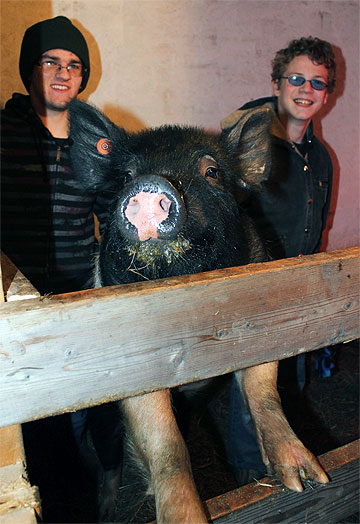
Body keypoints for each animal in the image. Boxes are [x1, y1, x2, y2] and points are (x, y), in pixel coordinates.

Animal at [68, 100, 330, 520]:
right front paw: (185, 517)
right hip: (101, 415)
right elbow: (165, 441)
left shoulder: (260, 319)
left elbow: (264, 391)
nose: (149, 185)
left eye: (212, 172)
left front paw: (307, 480)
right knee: (109, 458)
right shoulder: (132, 365)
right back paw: (106, 510)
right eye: (126, 175)